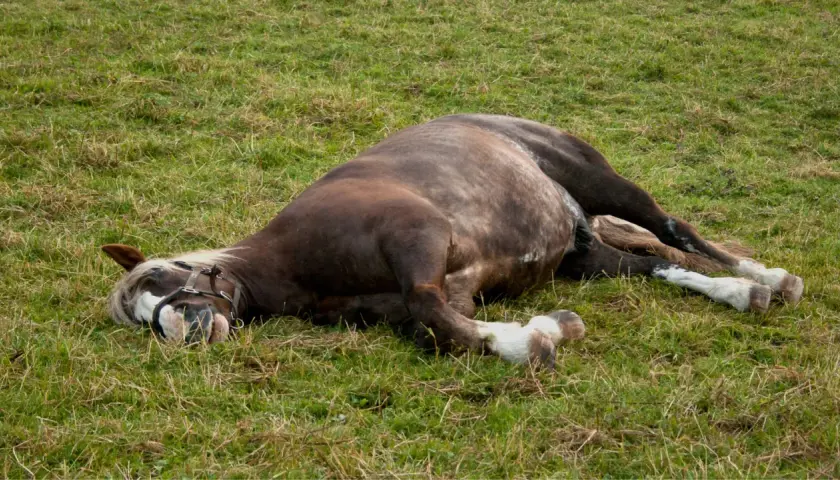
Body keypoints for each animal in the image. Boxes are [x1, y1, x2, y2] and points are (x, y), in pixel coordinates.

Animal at [102, 114, 804, 368]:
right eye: (140, 318)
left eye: (162, 275)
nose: (181, 330)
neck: (296, 260)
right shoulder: (447, 291)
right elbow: (442, 329)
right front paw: (544, 330)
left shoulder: (420, 239)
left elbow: (430, 309)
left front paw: (535, 340)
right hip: (585, 255)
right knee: (655, 263)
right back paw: (738, 292)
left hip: (604, 185)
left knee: (673, 229)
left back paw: (767, 278)